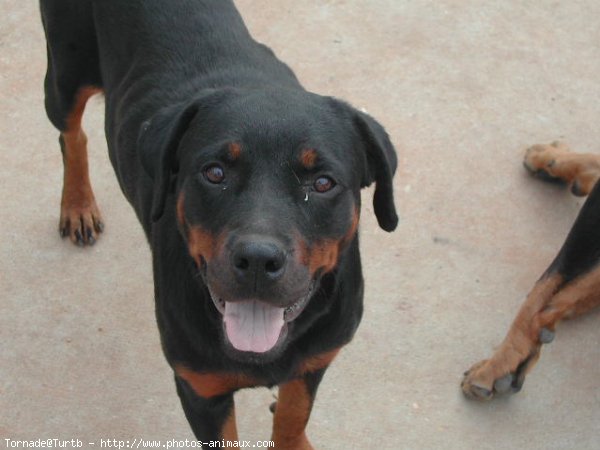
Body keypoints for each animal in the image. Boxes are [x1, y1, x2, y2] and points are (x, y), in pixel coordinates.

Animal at [41, 0, 398, 444]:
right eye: (214, 173)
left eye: (322, 182)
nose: (258, 259)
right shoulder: (200, 388)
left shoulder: (315, 359)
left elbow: (293, 414)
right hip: (66, 74)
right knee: (70, 131)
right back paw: (77, 204)